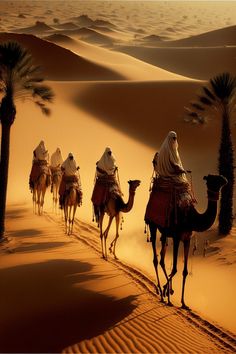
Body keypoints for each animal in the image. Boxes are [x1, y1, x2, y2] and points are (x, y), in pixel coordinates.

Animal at [146, 174, 227, 310]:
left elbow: (185, 271)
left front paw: (183, 303)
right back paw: (161, 293)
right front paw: (167, 293)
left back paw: (163, 290)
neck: (191, 218)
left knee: (162, 259)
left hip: (164, 232)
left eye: (219, 178)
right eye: (213, 179)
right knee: (156, 260)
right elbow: (175, 269)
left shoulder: (187, 239)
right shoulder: (177, 237)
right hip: (152, 224)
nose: (225, 180)